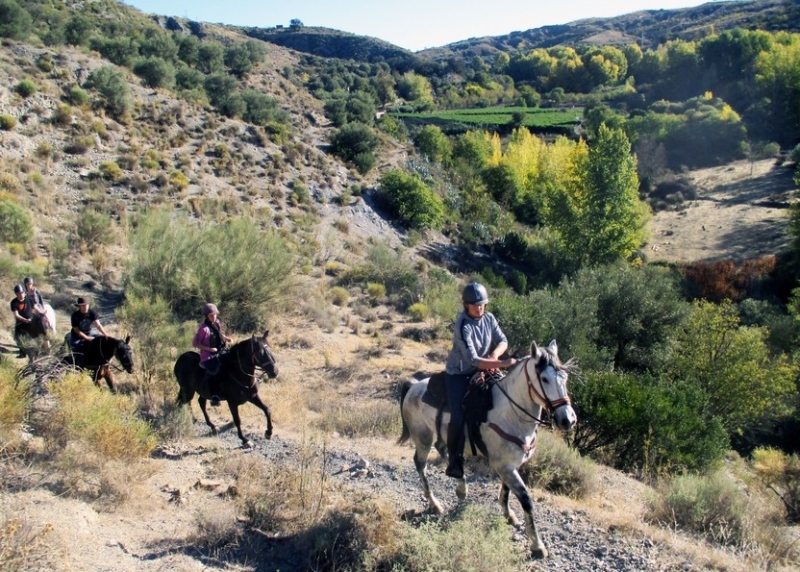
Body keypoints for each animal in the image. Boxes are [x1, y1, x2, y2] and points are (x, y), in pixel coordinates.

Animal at [398, 340, 576, 560]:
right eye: (544, 378)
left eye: (565, 378)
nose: (568, 420)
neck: (510, 413)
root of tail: (413, 385)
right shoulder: (504, 466)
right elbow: (526, 499)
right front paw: (537, 544)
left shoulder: (510, 464)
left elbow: (506, 490)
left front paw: (509, 515)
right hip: (423, 437)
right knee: (420, 464)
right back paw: (435, 503)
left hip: (440, 434)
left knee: (444, 450)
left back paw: (461, 486)